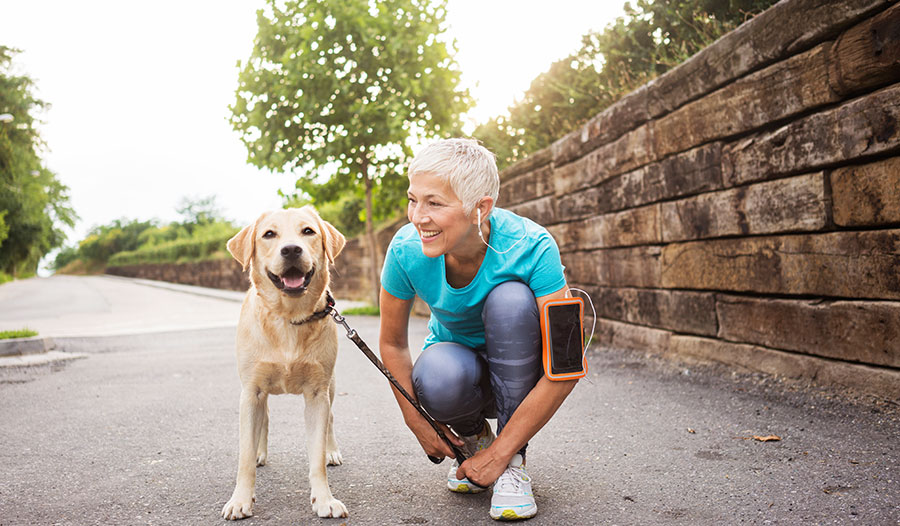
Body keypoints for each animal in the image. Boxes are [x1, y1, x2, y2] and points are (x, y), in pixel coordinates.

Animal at [221, 208, 348, 520]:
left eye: (308, 231)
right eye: (269, 234)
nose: (291, 249)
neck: (289, 318)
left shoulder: (316, 393)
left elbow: (316, 455)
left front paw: (324, 499)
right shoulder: (251, 391)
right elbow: (244, 456)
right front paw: (240, 499)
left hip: (331, 386)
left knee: (330, 418)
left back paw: (332, 450)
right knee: (264, 418)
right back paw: (259, 452)